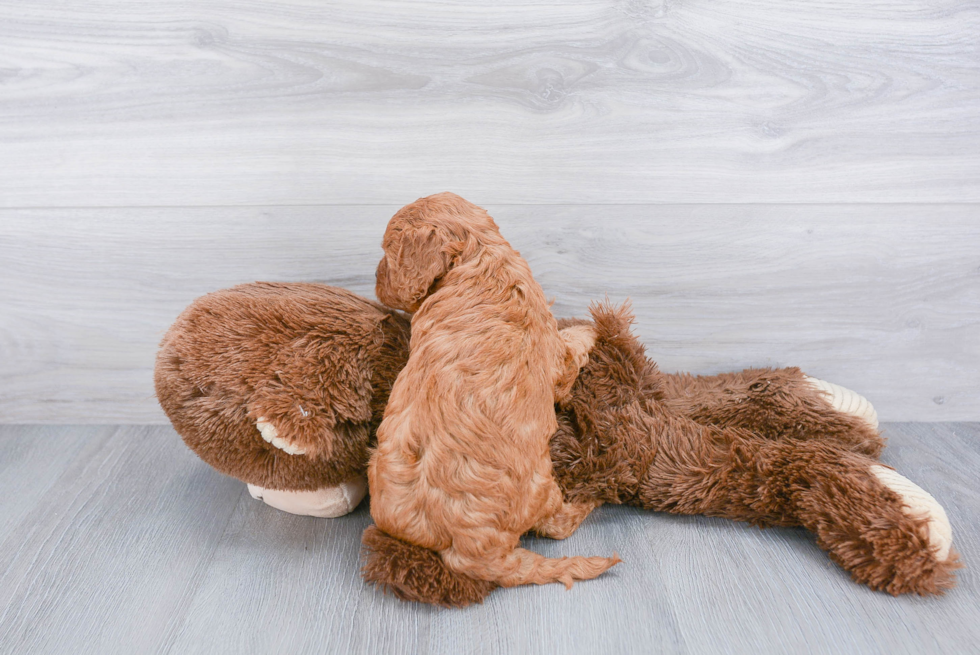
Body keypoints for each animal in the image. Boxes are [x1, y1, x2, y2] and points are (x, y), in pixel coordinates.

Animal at [368, 192, 620, 588]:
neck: (480, 253)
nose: (374, 279)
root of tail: (474, 551)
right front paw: (589, 329)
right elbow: (571, 351)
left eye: (387, 253)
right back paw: (591, 499)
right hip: (542, 486)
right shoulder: (557, 360)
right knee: (557, 526)